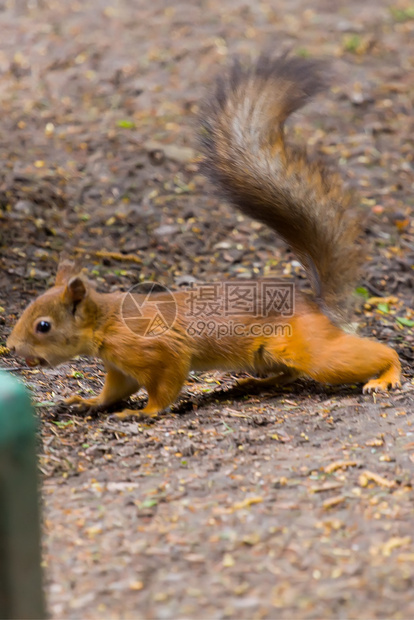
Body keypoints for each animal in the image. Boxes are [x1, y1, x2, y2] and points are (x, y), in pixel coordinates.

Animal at [5, 53, 402, 418]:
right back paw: (251, 384)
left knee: (362, 355)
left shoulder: (160, 350)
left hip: (309, 349)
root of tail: (316, 306)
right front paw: (88, 402)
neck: (106, 322)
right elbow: (115, 391)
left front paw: (144, 413)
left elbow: (165, 386)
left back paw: (387, 375)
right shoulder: (120, 367)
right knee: (289, 374)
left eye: (43, 326)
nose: (10, 347)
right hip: (269, 355)